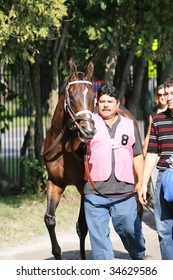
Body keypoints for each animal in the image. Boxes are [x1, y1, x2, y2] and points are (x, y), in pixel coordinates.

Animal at [41, 61, 143, 260]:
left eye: (92, 97)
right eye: (72, 96)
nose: (87, 131)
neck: (63, 146)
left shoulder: (84, 187)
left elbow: (82, 226)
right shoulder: (55, 182)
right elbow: (49, 219)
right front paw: (57, 253)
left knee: (138, 209)